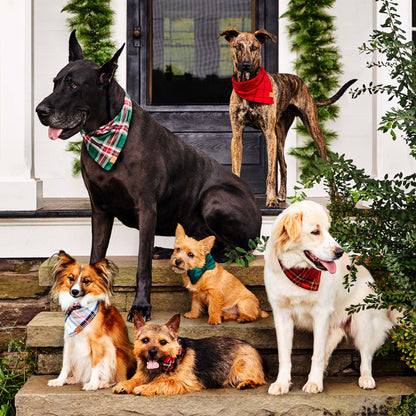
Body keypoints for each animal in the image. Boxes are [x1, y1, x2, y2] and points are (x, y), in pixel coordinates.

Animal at [37, 30, 262, 322]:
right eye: (55, 82)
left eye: (74, 85)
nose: (40, 111)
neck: (106, 135)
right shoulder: (99, 208)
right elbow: (96, 253)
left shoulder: (147, 208)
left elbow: (142, 265)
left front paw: (141, 305)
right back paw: (167, 251)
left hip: (215, 197)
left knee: (234, 249)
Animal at [47, 250, 136, 390]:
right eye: (71, 278)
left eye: (86, 280)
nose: (74, 291)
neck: (79, 306)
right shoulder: (69, 341)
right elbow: (65, 364)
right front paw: (59, 380)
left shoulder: (98, 343)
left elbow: (95, 365)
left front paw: (93, 384)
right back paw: (73, 379)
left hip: (114, 352)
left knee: (118, 378)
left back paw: (103, 382)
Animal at [112, 312, 264, 396]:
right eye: (145, 340)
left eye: (163, 342)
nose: (152, 352)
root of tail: (252, 346)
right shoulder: (142, 374)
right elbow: (134, 379)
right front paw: (125, 384)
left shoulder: (182, 381)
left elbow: (160, 382)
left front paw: (144, 388)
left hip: (240, 368)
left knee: (258, 379)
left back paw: (247, 383)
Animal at [218, 28, 358, 207]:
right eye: (237, 46)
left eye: (255, 47)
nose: (246, 65)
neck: (249, 85)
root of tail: (303, 85)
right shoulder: (237, 135)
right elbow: (236, 169)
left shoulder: (269, 135)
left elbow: (270, 175)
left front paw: (271, 199)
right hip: (279, 138)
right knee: (284, 166)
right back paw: (282, 195)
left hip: (312, 130)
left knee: (327, 168)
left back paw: (335, 199)